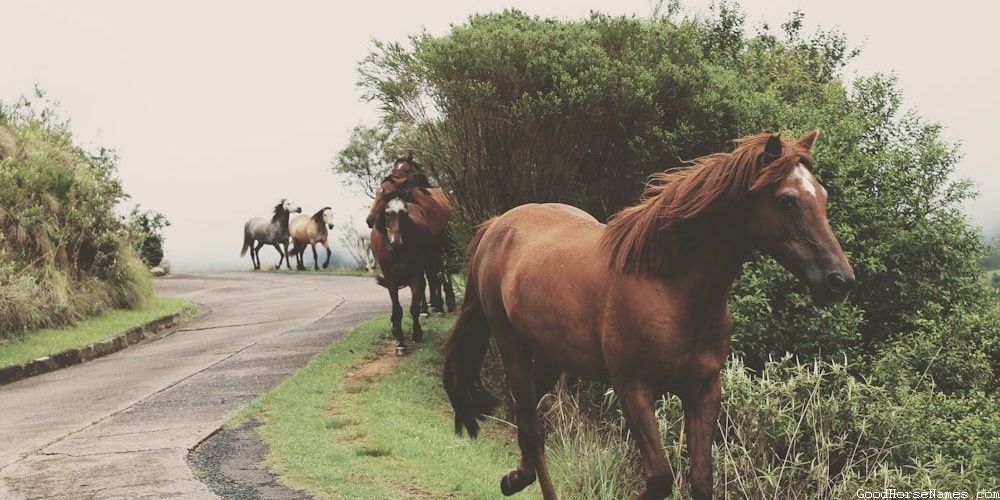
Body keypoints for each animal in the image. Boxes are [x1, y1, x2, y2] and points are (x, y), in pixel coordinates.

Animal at [367, 156, 456, 313]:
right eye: (394, 169)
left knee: (444, 271)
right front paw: (428, 307)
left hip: (445, 247)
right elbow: (429, 277)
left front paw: (442, 304)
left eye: (387, 194)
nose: (370, 219)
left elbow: (436, 274)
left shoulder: (435, 249)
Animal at [370, 184, 444, 351]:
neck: (398, 251)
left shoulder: (416, 275)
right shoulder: (390, 279)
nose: (395, 242)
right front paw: (400, 342)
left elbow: (414, 307)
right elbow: (397, 309)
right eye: (387, 213)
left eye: (404, 214)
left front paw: (417, 334)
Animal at [442, 131, 855, 500]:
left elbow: (701, 481)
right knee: (532, 429)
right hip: (512, 346)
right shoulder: (633, 388)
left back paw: (513, 478)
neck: (670, 289)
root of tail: (498, 225)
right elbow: (659, 479)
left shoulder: (703, 390)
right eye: (788, 201)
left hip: (550, 357)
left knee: (525, 418)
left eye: (823, 196)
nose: (840, 280)